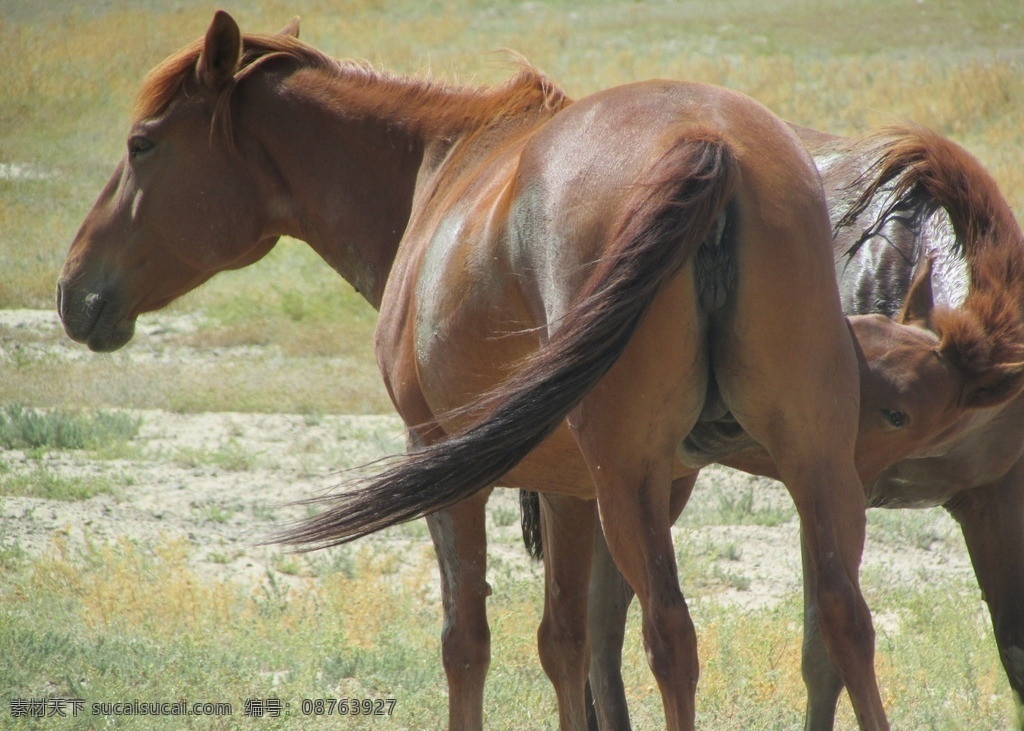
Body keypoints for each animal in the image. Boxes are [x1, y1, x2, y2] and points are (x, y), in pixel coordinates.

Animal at [572, 123, 1024, 730]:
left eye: (898, 412)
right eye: (849, 334)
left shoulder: (994, 500)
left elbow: (1012, 647)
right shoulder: (838, 492)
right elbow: (825, 652)